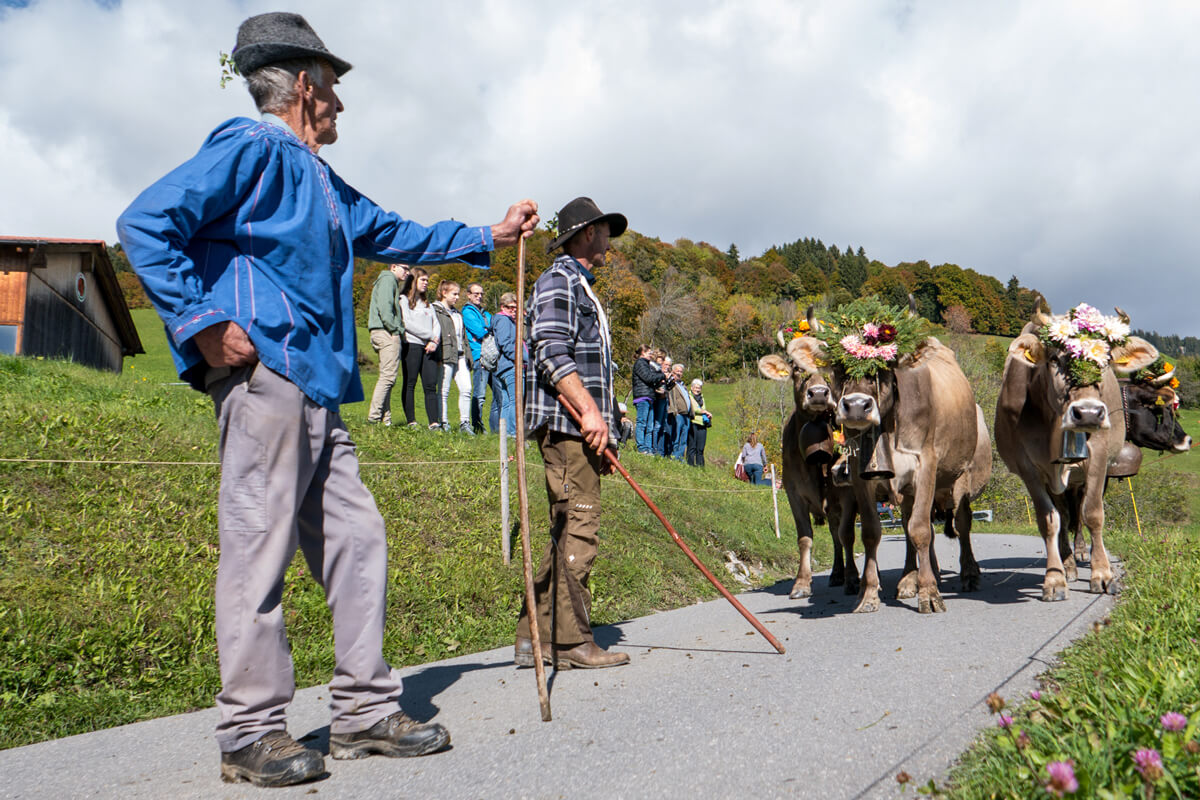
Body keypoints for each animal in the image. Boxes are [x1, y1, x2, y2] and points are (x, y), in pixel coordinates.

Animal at [993, 307, 1152, 599]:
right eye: (1054, 358)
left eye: (1106, 360)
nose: (1088, 413)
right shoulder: (1028, 468)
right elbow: (1049, 520)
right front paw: (1054, 579)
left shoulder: (1098, 454)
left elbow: (1092, 514)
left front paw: (1102, 575)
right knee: (1065, 515)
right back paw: (1068, 564)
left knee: (1078, 513)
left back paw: (1080, 554)